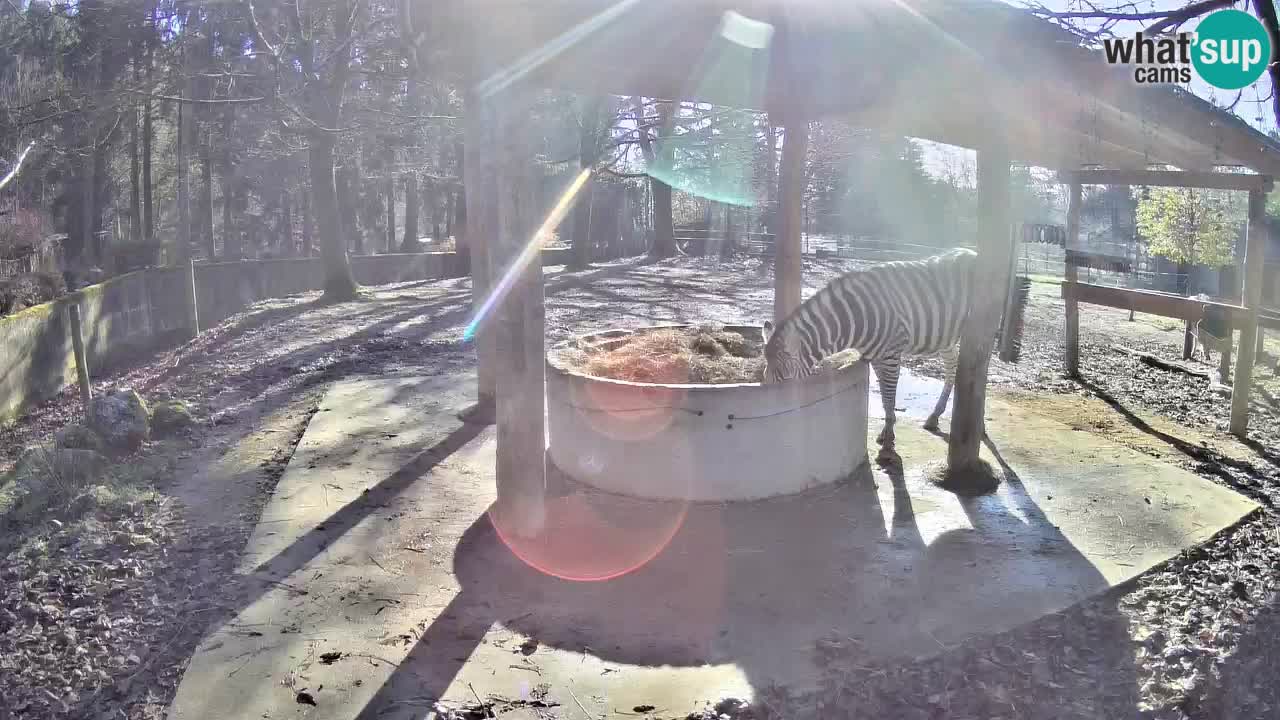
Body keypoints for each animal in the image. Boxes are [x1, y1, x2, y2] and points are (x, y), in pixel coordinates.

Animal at [762, 245, 1024, 458]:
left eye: (784, 382)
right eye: (765, 380)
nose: (779, 420)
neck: (855, 319)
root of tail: (976, 253)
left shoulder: (890, 355)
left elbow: (889, 396)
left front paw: (888, 439)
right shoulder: (875, 358)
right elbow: (885, 400)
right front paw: (887, 432)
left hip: (982, 328)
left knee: (981, 371)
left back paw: (979, 426)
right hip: (947, 338)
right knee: (952, 369)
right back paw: (935, 416)